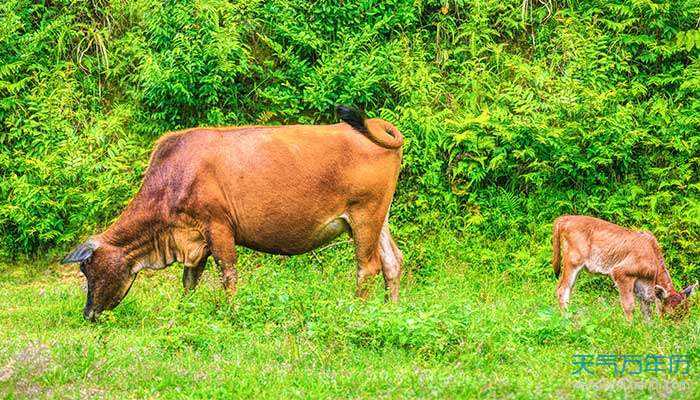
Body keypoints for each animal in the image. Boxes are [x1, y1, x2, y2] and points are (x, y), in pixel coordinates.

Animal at [63, 108, 408, 320]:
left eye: (87, 270)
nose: (88, 314)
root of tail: (377, 124)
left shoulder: (217, 226)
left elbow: (228, 275)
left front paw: (232, 313)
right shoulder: (194, 239)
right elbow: (189, 280)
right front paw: (185, 311)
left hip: (364, 215)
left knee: (368, 266)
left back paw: (357, 310)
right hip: (378, 218)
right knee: (393, 260)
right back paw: (391, 310)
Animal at [552, 214, 696, 320]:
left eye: (686, 314)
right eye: (670, 315)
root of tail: (565, 218)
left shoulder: (642, 285)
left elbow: (646, 310)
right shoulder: (621, 273)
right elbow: (629, 306)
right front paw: (631, 327)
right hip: (573, 262)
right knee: (563, 289)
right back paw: (567, 318)